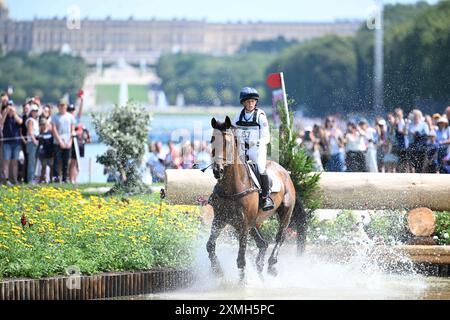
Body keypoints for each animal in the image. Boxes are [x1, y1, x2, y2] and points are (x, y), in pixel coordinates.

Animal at [207, 115, 306, 280]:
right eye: (212, 140)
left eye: (227, 143)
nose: (217, 171)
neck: (231, 188)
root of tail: (285, 172)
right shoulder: (220, 219)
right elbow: (210, 246)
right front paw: (217, 271)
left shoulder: (244, 224)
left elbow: (241, 258)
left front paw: (243, 283)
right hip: (255, 222)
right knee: (263, 243)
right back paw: (260, 268)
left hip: (285, 212)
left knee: (280, 237)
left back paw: (271, 266)